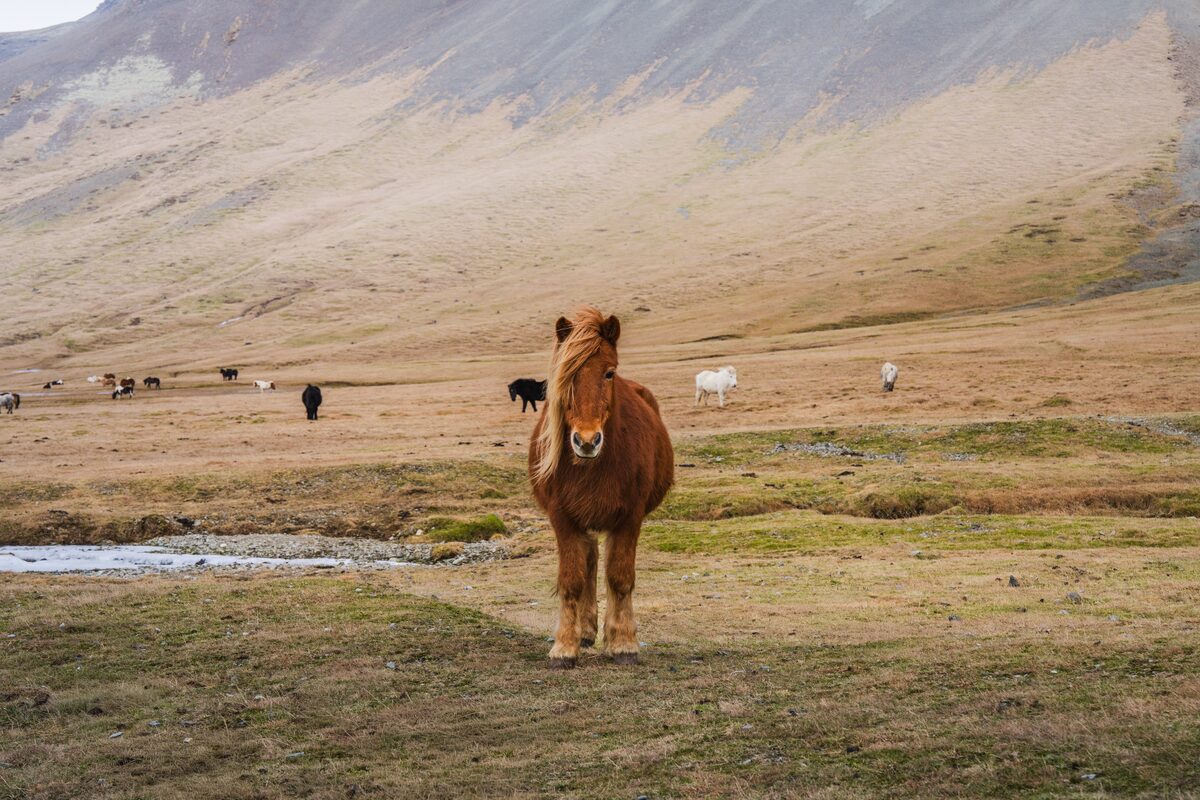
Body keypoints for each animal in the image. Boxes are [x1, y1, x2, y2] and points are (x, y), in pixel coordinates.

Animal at [529, 307, 674, 669]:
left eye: (609, 373)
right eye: (566, 376)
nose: (586, 441)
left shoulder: (630, 517)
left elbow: (620, 577)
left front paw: (622, 642)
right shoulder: (562, 518)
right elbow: (572, 579)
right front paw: (565, 646)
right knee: (590, 560)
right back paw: (585, 629)